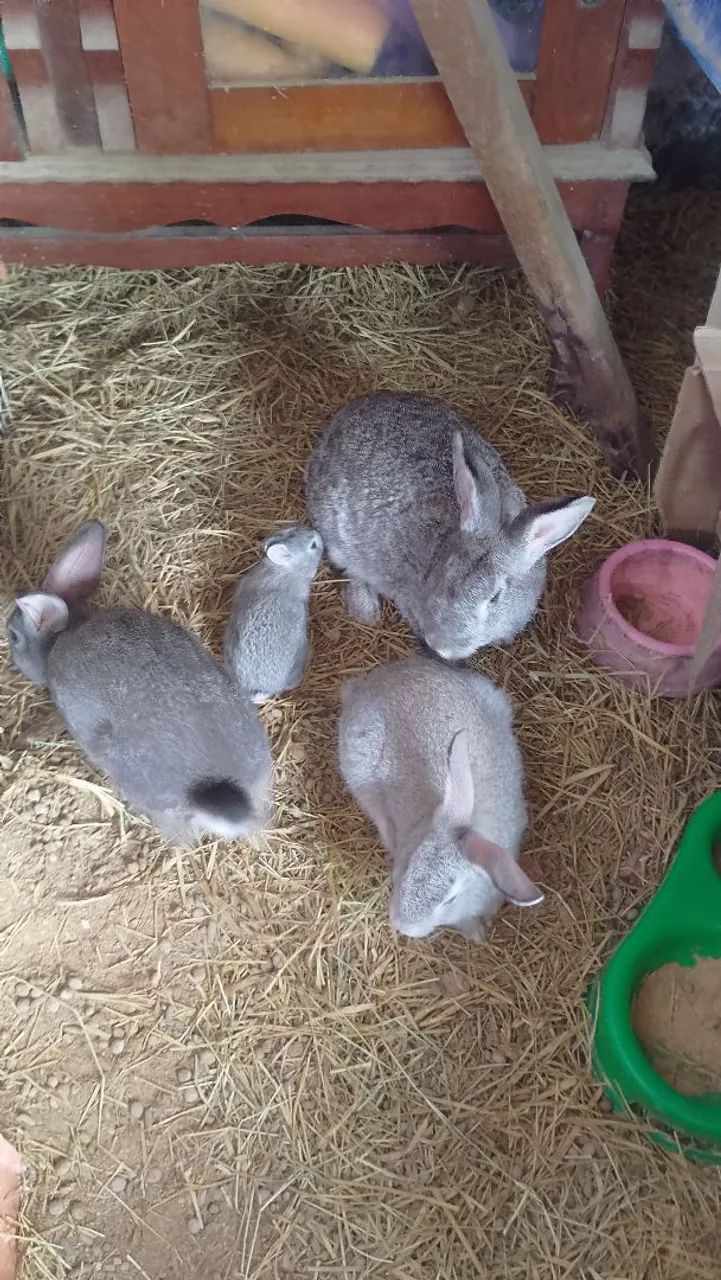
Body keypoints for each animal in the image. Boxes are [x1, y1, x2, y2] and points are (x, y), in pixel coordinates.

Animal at [338, 656, 542, 941]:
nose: (402, 926)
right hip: (360, 772)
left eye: (449, 900)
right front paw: (477, 935)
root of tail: (363, 688)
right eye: (408, 870)